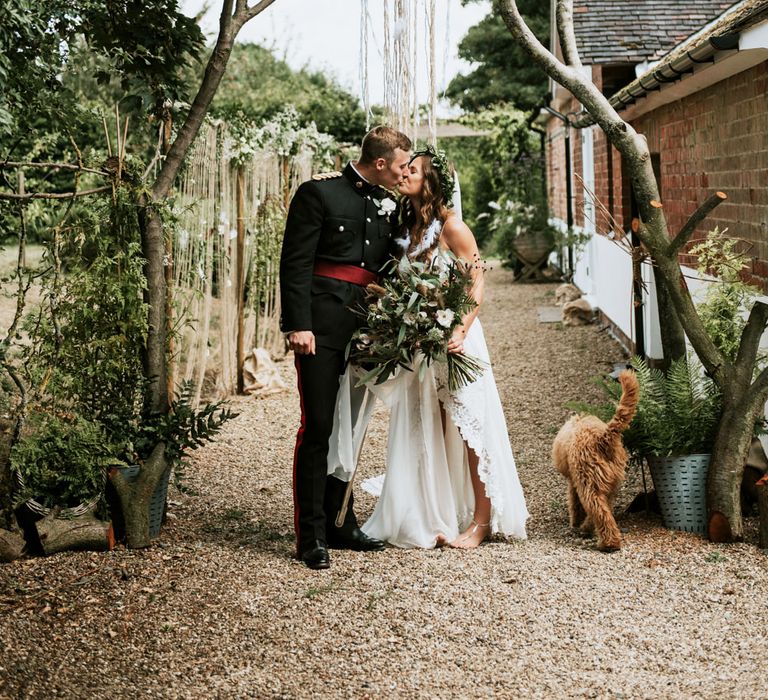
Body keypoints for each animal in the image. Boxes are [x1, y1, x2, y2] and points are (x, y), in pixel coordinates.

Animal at [552, 372, 636, 552]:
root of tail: (602, 437)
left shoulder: (573, 481)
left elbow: (575, 503)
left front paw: (575, 521)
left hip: (588, 482)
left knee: (598, 510)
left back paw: (607, 543)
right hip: (610, 481)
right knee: (604, 509)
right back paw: (590, 530)